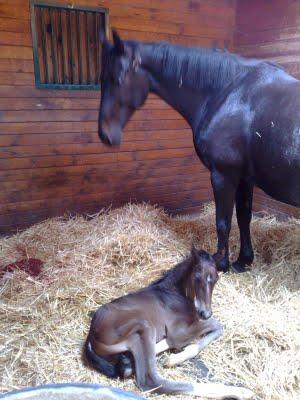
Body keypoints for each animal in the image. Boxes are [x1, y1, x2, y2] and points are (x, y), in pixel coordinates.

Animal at [85, 248, 254, 398]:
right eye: (197, 277)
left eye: (216, 279)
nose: (205, 313)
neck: (174, 293)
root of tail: (91, 336)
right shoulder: (178, 331)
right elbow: (217, 325)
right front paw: (174, 359)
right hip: (144, 327)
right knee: (152, 381)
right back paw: (240, 392)